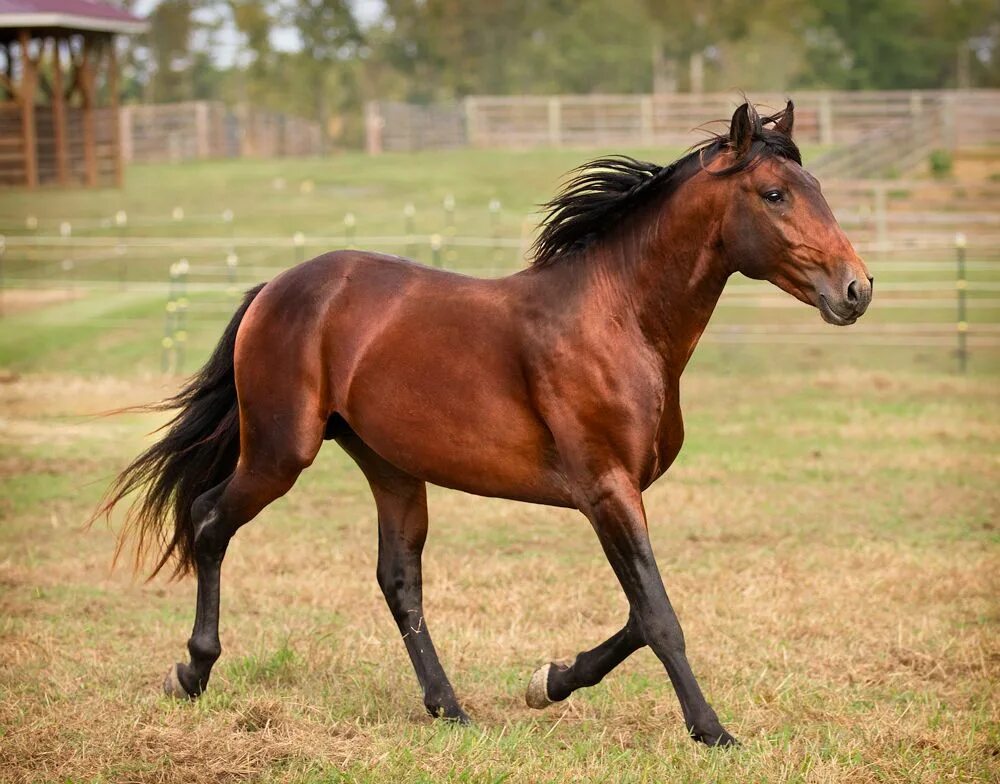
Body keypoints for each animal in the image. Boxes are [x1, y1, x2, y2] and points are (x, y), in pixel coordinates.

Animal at [97, 101, 872, 752]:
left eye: (814, 187)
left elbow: (636, 612)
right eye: (774, 194)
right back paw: (191, 674)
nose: (857, 289)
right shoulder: (606, 489)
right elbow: (658, 616)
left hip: (391, 468)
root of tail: (276, 288)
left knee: (398, 579)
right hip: (280, 454)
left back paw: (450, 708)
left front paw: (547, 681)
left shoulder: (621, 494)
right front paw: (712, 731)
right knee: (208, 521)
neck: (620, 320)